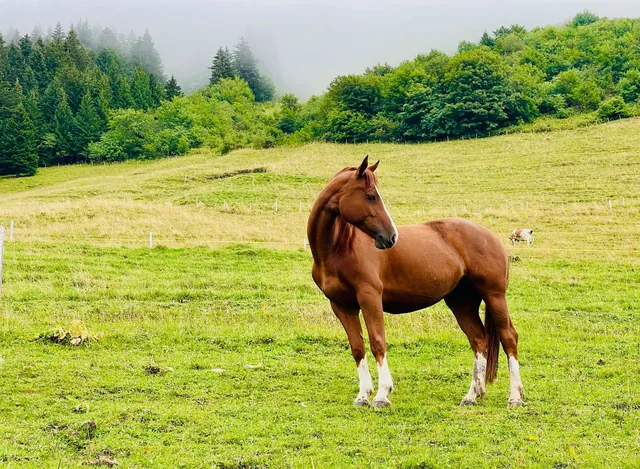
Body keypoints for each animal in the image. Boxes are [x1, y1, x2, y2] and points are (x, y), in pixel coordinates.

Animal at [307, 156, 525, 408]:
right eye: (370, 196)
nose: (391, 237)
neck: (339, 248)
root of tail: (492, 237)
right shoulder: (342, 306)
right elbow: (358, 347)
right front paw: (363, 396)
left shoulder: (370, 298)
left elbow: (378, 342)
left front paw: (382, 394)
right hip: (462, 303)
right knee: (479, 340)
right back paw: (472, 395)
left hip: (494, 296)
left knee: (509, 337)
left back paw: (515, 396)